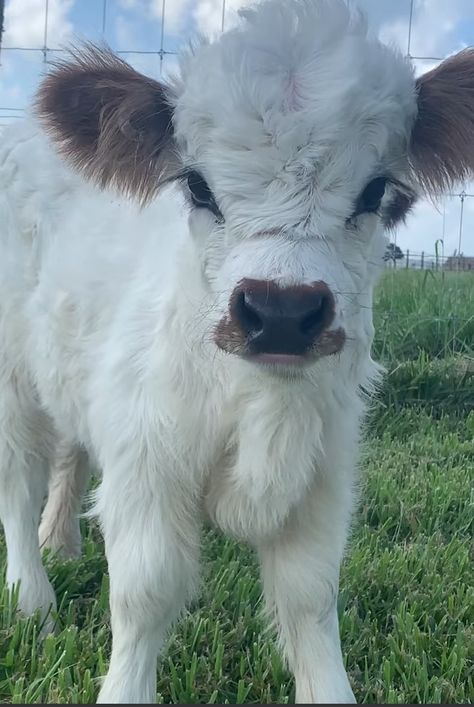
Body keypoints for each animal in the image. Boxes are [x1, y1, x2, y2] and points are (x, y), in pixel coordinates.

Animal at [0, 0, 474, 704]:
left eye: (375, 191)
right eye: (197, 186)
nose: (281, 313)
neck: (263, 406)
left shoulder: (324, 472)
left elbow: (310, 598)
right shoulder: (147, 462)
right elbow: (146, 594)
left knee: (69, 456)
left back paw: (60, 542)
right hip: (13, 379)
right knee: (20, 479)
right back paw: (33, 597)